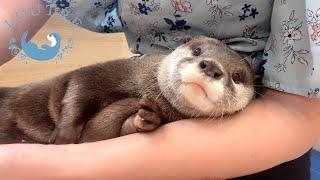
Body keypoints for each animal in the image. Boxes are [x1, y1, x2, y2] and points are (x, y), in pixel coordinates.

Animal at [0, 35, 255, 144]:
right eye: (197, 51)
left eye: (237, 76)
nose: (211, 66)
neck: (142, 85)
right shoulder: (108, 72)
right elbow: (79, 88)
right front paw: (64, 135)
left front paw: (147, 119)